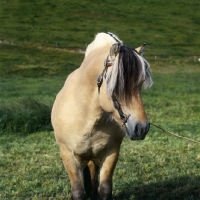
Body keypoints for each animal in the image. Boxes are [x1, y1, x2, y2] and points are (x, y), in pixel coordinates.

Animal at [51, 32, 153, 199]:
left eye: (140, 84)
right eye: (116, 85)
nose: (141, 128)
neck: (88, 117)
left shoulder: (111, 153)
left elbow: (104, 189)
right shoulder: (68, 156)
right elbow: (78, 192)